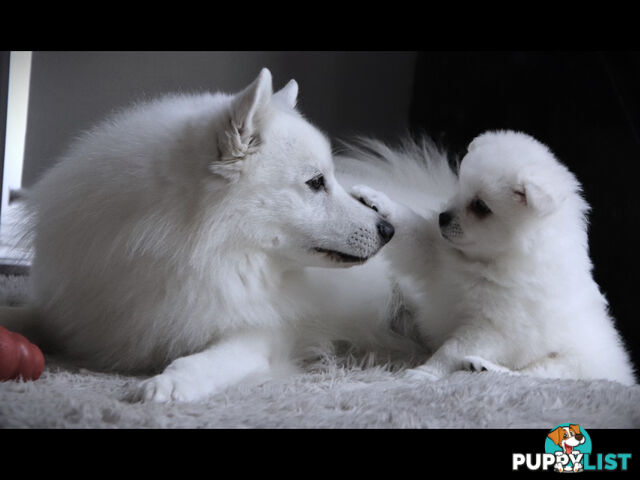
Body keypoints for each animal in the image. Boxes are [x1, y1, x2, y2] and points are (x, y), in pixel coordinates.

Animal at [352, 129, 636, 384]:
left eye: (480, 206)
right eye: (460, 190)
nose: (442, 218)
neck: (487, 262)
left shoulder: (492, 328)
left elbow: (451, 350)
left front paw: (424, 373)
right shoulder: (435, 257)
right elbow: (408, 227)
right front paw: (374, 198)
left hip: (570, 362)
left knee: (535, 374)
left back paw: (484, 367)